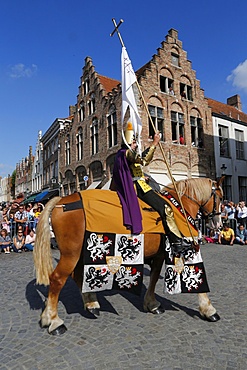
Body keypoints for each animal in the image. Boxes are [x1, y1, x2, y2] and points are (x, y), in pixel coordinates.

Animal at [33, 177, 224, 336]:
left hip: (79, 254)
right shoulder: (186, 249)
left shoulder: (159, 255)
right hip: (71, 254)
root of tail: (60, 202)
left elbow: (154, 277)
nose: (218, 224)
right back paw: (53, 321)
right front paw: (209, 309)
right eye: (220, 198)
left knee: (76, 275)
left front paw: (151, 304)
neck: (180, 207)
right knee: (57, 279)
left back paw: (91, 304)